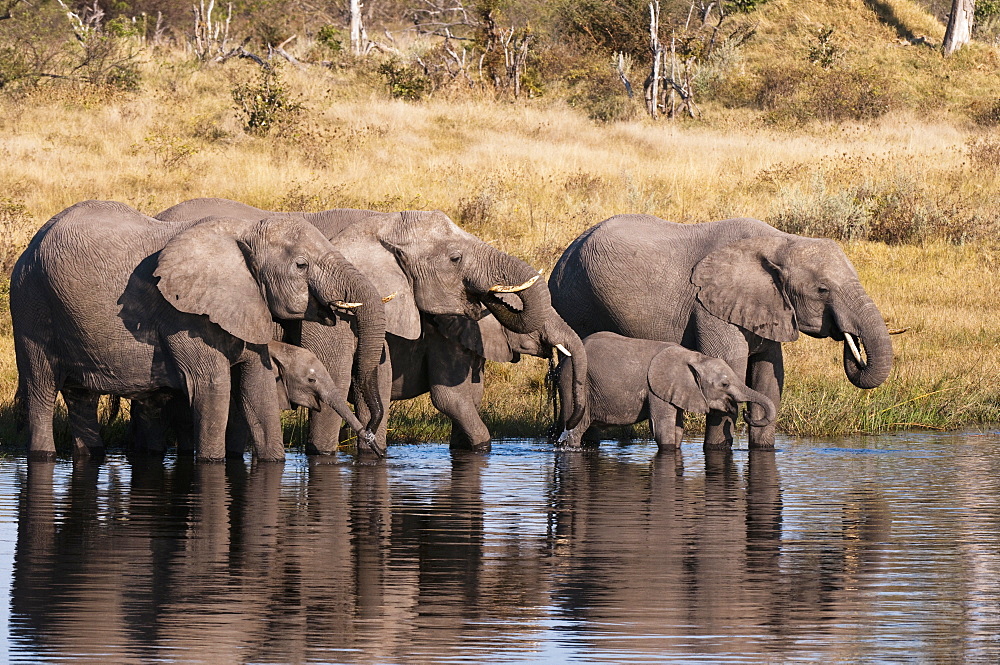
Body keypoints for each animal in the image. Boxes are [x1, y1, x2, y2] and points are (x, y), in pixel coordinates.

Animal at [11, 200, 386, 462]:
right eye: (301, 265)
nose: (372, 440)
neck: (244, 233)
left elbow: (257, 389)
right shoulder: (184, 317)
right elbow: (212, 387)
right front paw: (211, 463)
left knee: (80, 397)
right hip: (30, 305)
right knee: (41, 389)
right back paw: (42, 454)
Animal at [560, 332, 776, 452]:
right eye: (724, 384)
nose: (747, 413)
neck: (694, 357)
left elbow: (677, 429)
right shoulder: (656, 389)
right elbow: (662, 428)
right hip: (573, 381)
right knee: (576, 427)